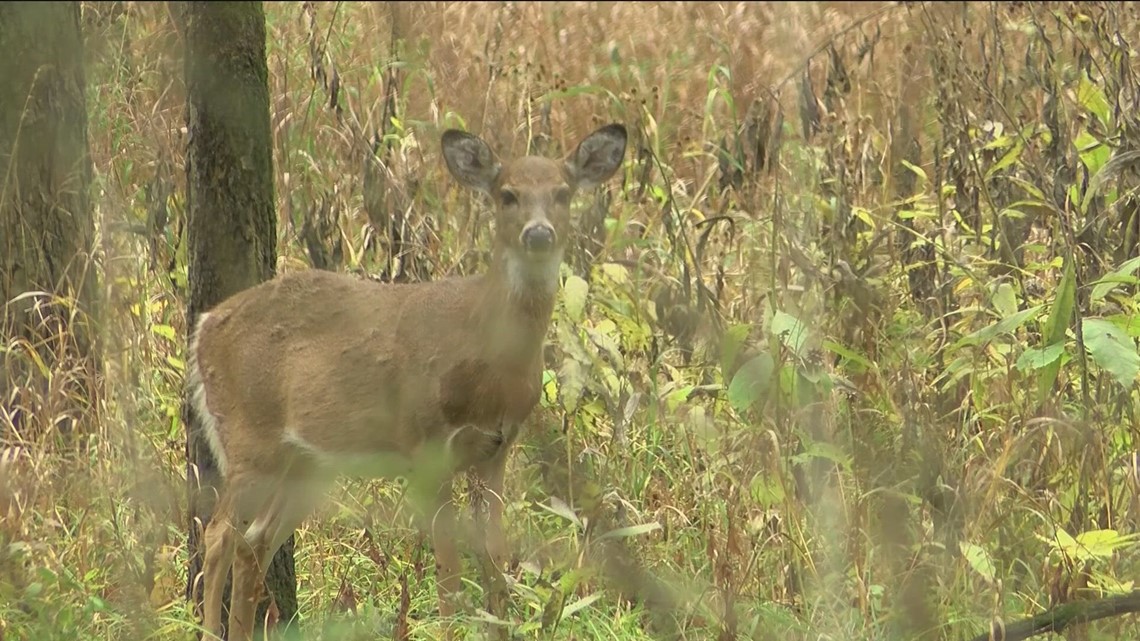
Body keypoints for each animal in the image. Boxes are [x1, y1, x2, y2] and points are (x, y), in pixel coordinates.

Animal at [190, 122, 629, 634]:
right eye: (507, 195)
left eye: (562, 192)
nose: (538, 233)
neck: (489, 362)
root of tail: (205, 326)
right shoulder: (427, 443)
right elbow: (449, 568)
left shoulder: (498, 448)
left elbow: (495, 559)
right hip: (249, 440)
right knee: (219, 535)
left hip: (308, 464)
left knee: (253, 541)